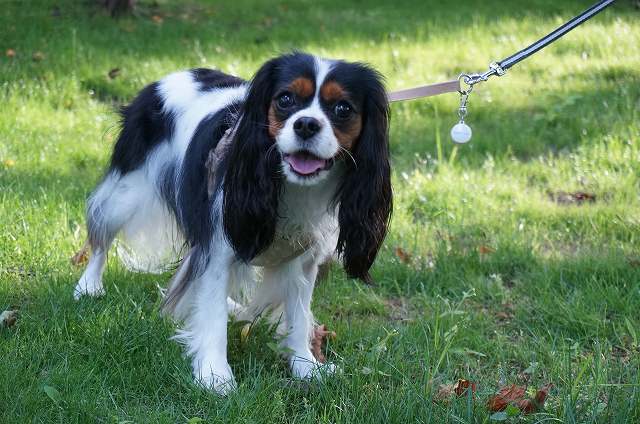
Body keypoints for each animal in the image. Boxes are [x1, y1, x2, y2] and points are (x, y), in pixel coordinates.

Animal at [76, 53, 396, 394]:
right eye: (285, 99)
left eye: (343, 109)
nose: (306, 124)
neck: (292, 185)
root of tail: (167, 78)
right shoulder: (219, 248)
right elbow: (212, 312)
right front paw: (214, 375)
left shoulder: (303, 260)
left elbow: (298, 315)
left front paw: (305, 367)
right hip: (126, 194)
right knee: (102, 235)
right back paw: (89, 285)